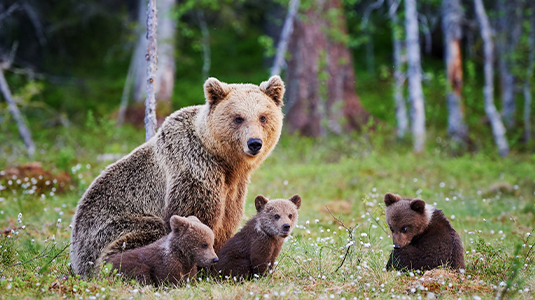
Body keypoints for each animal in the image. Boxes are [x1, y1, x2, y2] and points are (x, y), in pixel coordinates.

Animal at [73, 76, 286, 278]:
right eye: (238, 118)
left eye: (263, 117)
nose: (254, 143)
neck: (224, 162)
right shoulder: (194, 169)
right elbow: (195, 218)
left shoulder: (233, 188)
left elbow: (227, 221)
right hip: (111, 229)